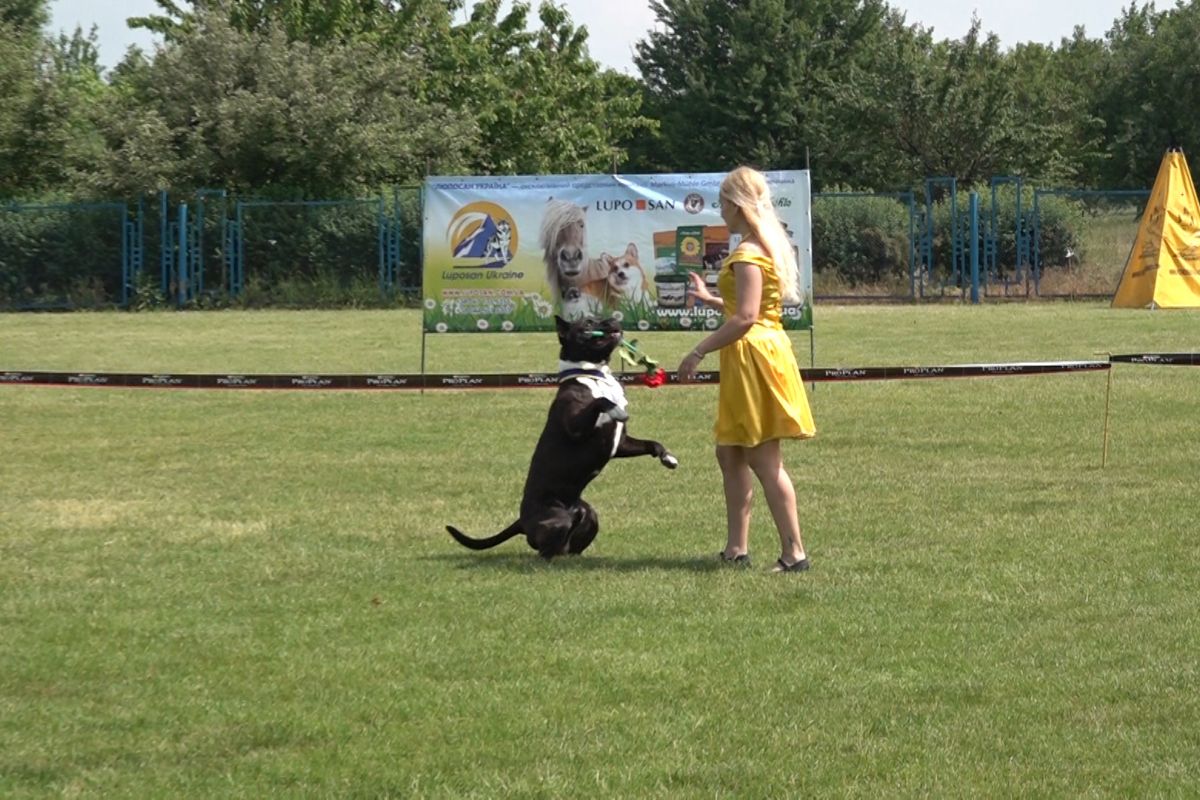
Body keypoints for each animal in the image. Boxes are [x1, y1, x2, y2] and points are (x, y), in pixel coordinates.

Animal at [448, 316, 681, 561]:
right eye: (587, 323)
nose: (613, 319)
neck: (593, 375)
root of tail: (521, 520)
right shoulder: (576, 426)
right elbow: (600, 402)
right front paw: (614, 408)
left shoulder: (621, 443)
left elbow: (651, 443)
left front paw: (667, 457)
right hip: (558, 519)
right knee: (543, 550)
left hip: (590, 516)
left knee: (569, 545)